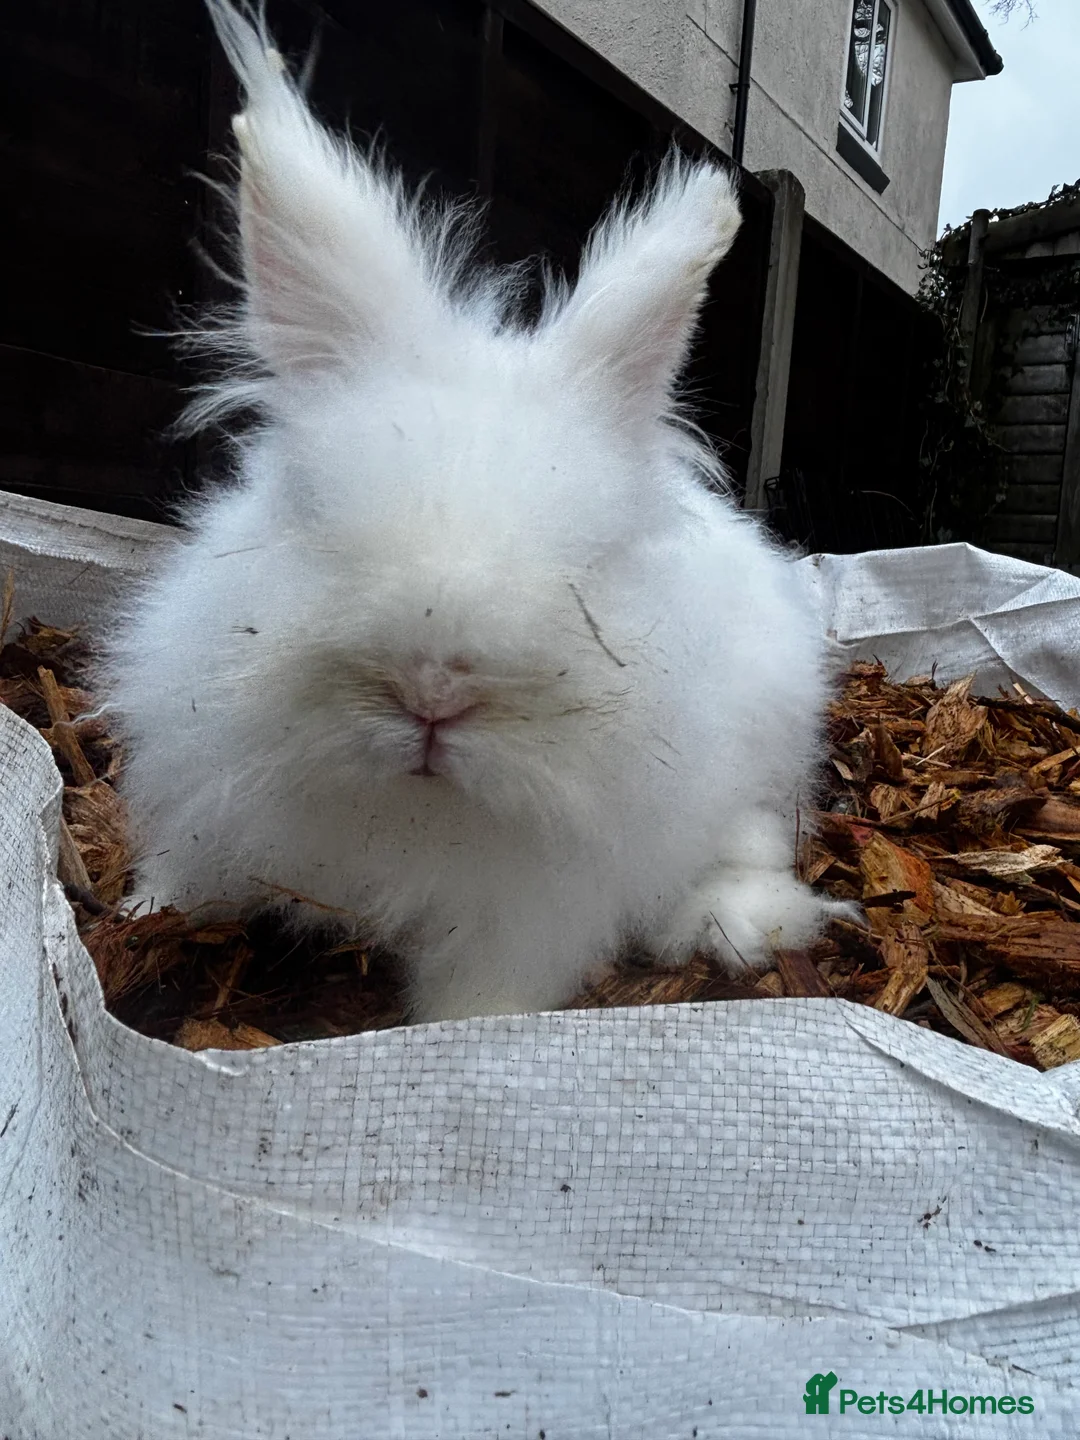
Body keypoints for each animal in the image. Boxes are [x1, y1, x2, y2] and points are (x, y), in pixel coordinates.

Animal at [102, 0, 849, 1024]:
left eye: (592, 566)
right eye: (315, 516)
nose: (432, 695)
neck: (412, 819)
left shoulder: (526, 914)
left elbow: (485, 991)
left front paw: (462, 1034)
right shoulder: (209, 806)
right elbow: (189, 878)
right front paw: (139, 918)